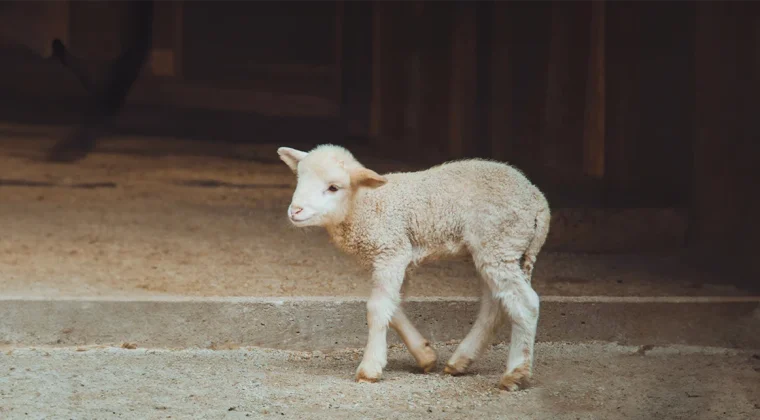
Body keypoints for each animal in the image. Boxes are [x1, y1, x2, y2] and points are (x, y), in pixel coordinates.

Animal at [276, 144, 548, 390]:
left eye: (333, 187)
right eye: (300, 180)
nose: (295, 211)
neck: (365, 204)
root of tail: (538, 200)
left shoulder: (391, 250)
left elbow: (377, 308)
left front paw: (370, 368)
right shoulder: (396, 256)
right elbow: (391, 307)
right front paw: (425, 355)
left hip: (500, 241)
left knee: (525, 303)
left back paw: (515, 374)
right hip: (492, 249)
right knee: (495, 304)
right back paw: (461, 361)